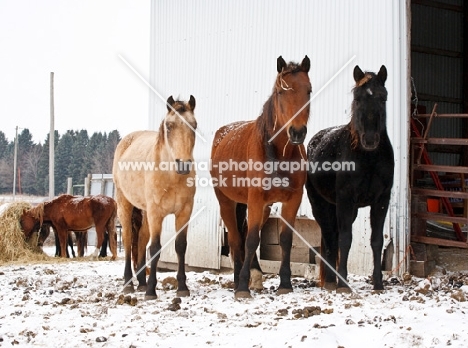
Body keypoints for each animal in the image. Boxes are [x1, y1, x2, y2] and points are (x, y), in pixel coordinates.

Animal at [113, 94, 197, 300]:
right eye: (169, 126)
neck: (171, 176)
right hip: (125, 205)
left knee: (141, 239)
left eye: (194, 125)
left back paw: (141, 282)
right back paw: (129, 284)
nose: (183, 165)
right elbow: (155, 248)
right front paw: (151, 290)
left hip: (144, 211)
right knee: (128, 240)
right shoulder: (156, 213)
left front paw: (182, 287)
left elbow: (180, 246)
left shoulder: (184, 212)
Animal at [211, 55, 312, 298]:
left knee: (245, 232)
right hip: (226, 201)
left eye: (309, 91)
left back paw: (255, 277)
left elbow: (285, 240)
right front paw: (242, 287)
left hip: (263, 206)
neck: (278, 153)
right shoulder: (255, 199)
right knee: (236, 239)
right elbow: (250, 240)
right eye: (281, 92)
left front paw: (285, 283)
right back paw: (238, 280)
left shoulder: (292, 200)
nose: (297, 132)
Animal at [306, 66, 394, 294]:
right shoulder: (345, 199)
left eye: (383, 98)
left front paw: (378, 283)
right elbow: (345, 240)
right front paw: (343, 284)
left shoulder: (381, 201)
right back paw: (331, 281)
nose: (370, 139)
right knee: (330, 238)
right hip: (320, 205)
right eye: (357, 98)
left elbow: (376, 241)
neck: (368, 159)